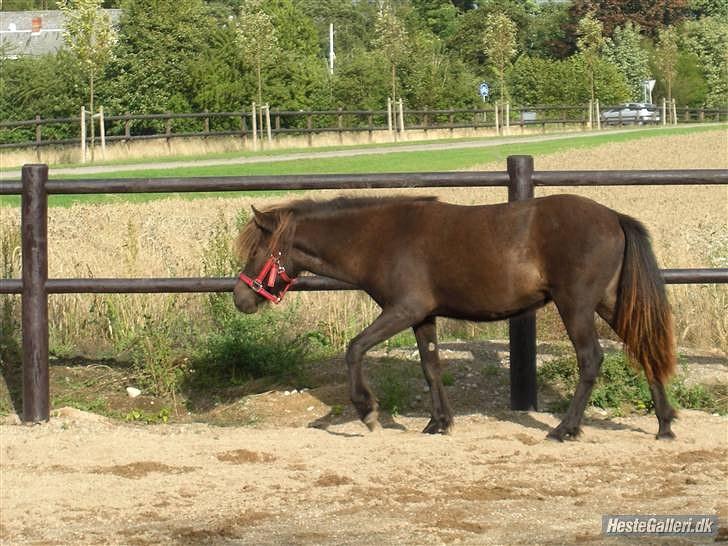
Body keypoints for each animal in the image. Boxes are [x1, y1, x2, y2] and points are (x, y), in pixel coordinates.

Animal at [232, 193, 676, 440]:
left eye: (256, 250)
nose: (240, 298)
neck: (380, 238)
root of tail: (613, 217)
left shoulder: (402, 309)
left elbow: (354, 348)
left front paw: (367, 411)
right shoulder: (422, 316)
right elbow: (431, 367)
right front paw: (438, 423)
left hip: (577, 306)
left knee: (590, 360)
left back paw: (564, 429)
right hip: (610, 303)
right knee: (644, 347)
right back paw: (665, 424)